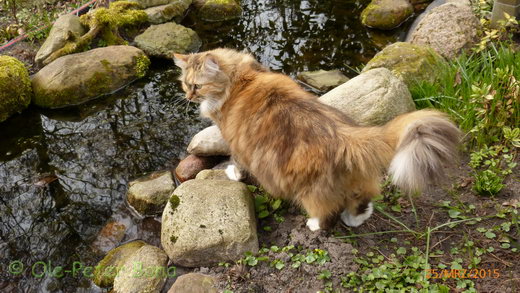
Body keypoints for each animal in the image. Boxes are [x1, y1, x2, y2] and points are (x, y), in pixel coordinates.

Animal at [174, 48, 460, 230]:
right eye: (185, 84)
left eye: (197, 86)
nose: (188, 96)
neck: (242, 79)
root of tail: (349, 136)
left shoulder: (236, 142)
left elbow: (237, 163)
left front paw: (232, 174)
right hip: (357, 183)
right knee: (364, 203)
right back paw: (354, 219)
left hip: (311, 191)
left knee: (324, 215)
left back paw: (313, 225)